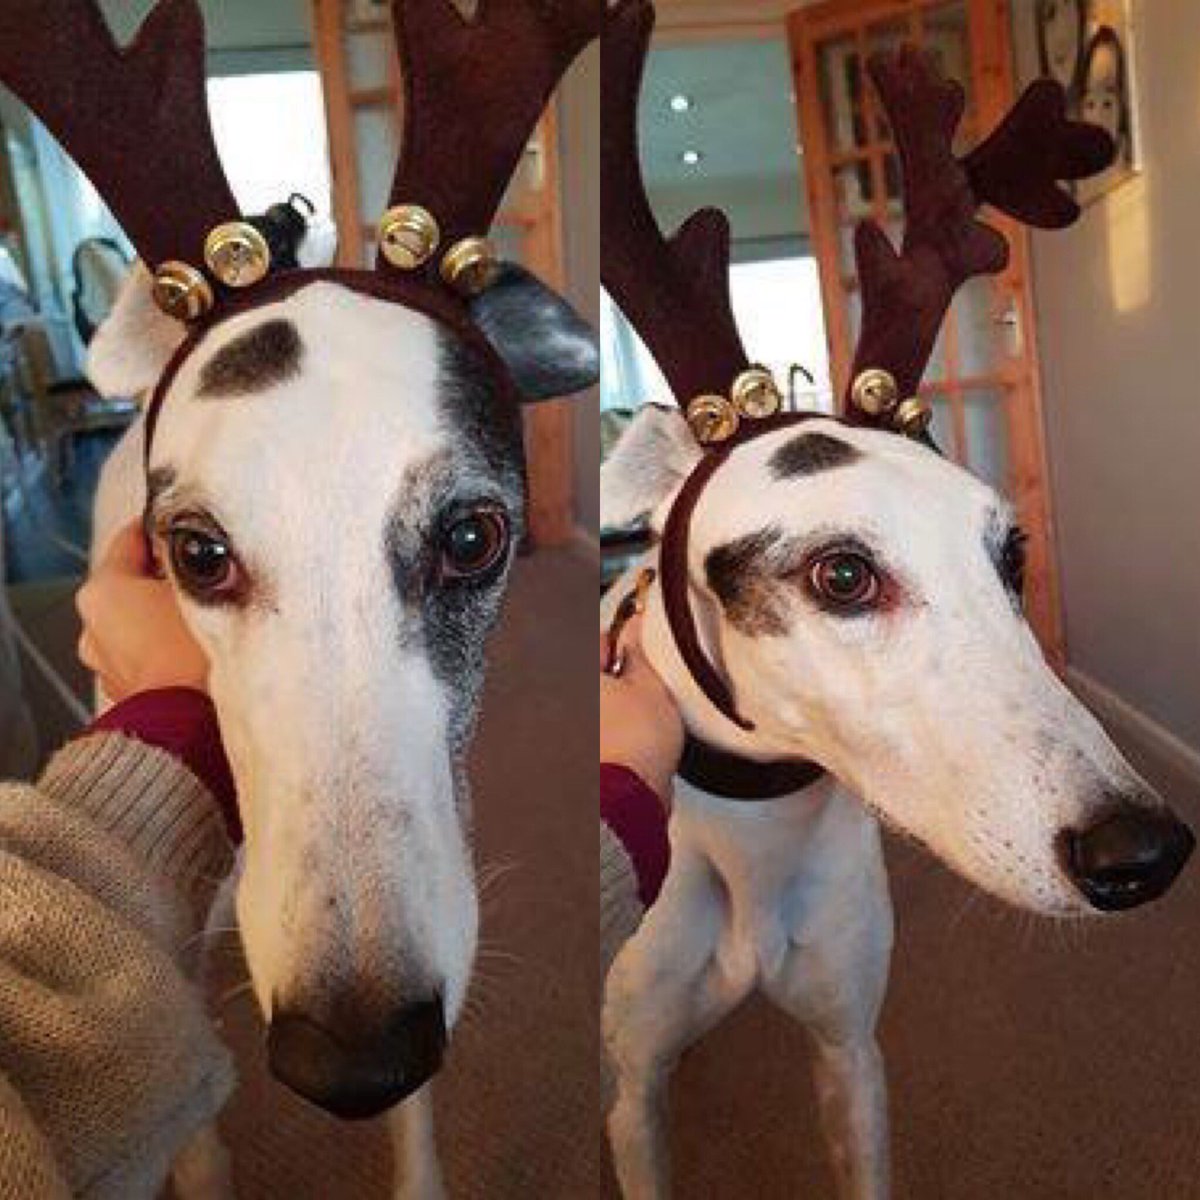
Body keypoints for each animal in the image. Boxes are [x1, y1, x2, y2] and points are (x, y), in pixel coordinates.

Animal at [598, 3, 1194, 1196]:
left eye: (1012, 552)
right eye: (841, 574)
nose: (1142, 854)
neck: (755, 827)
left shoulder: (851, 1050)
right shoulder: (634, 1102)